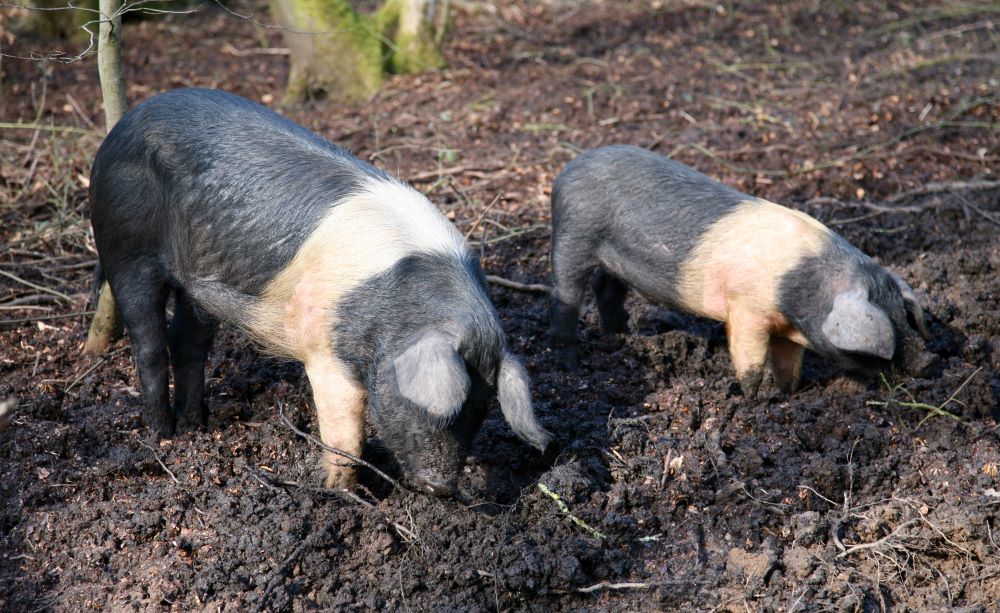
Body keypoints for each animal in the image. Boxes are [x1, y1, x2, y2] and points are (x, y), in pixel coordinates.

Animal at [90, 88, 552, 494]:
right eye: (439, 410)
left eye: (481, 410)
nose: (440, 489)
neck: (398, 308)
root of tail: (124, 122)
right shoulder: (324, 348)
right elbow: (346, 434)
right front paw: (339, 494)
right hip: (123, 241)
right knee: (148, 341)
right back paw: (163, 435)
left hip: (197, 280)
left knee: (189, 340)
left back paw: (195, 427)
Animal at [548, 145, 928, 394]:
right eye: (888, 328)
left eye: (902, 313)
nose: (928, 362)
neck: (799, 286)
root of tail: (567, 169)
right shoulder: (746, 307)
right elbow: (751, 360)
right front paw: (753, 400)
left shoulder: (786, 326)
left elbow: (789, 363)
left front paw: (790, 394)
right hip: (574, 234)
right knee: (564, 297)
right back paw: (569, 356)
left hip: (617, 261)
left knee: (606, 290)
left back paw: (622, 336)